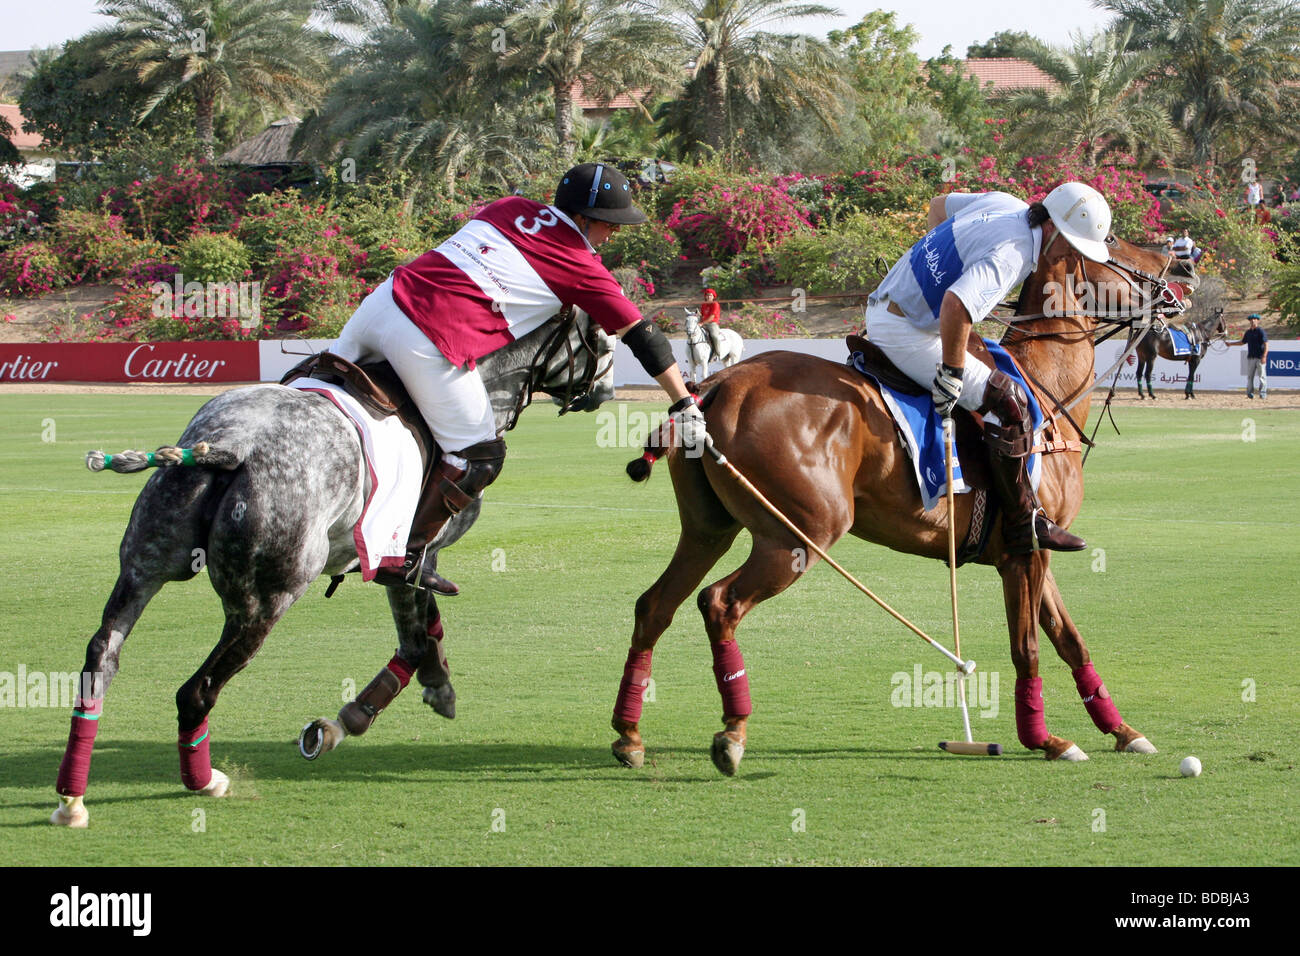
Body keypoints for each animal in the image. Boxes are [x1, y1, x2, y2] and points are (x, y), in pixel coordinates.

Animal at [49, 310, 613, 827]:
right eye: (603, 340)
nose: (605, 391)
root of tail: (233, 445)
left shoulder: (398, 559)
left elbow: (424, 625)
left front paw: (429, 688)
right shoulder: (410, 549)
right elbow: (416, 636)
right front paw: (359, 716)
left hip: (144, 565)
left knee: (101, 658)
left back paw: (72, 800)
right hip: (267, 599)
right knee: (198, 690)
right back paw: (203, 781)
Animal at [611, 231, 1180, 780]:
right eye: (1114, 245)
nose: (1181, 270)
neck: (1047, 390)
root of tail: (712, 384)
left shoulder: (1031, 548)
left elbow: (1068, 638)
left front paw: (1122, 731)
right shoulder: (1026, 553)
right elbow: (1029, 647)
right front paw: (1044, 739)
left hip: (708, 529)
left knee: (654, 605)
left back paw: (629, 735)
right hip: (797, 536)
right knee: (720, 603)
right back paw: (732, 732)